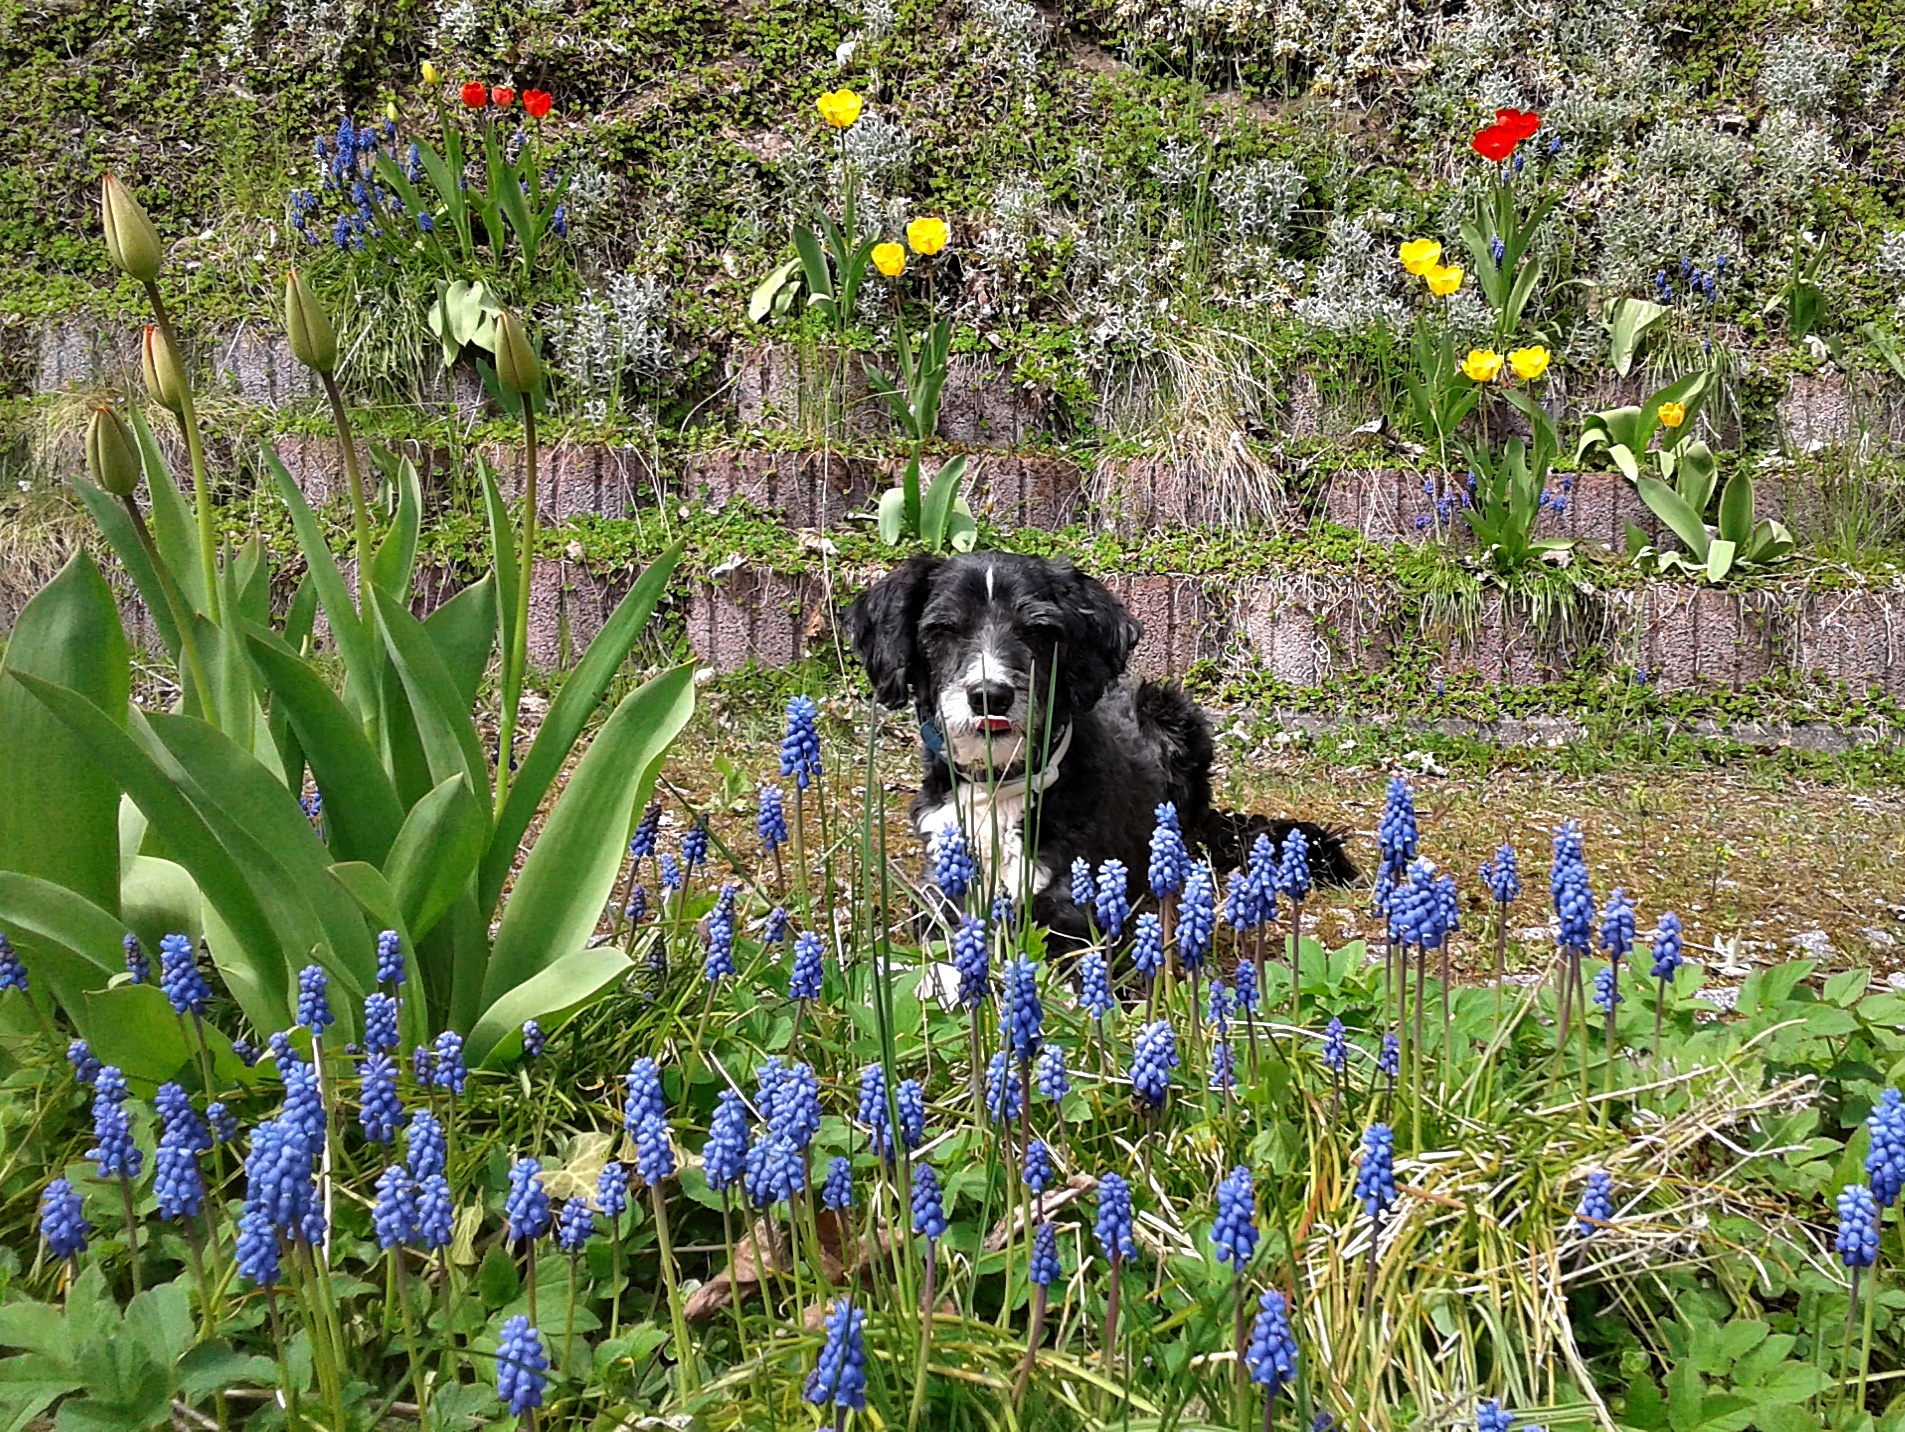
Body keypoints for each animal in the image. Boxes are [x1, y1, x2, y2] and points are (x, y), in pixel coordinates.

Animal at [845, 548, 1356, 940]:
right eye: (943, 629)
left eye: (1039, 630)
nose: (990, 695)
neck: (999, 784)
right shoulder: (941, 883)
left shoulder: (1073, 908)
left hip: (1172, 714)